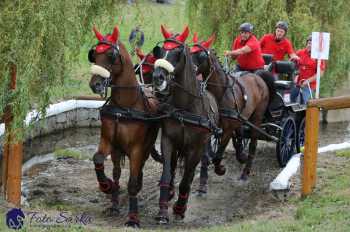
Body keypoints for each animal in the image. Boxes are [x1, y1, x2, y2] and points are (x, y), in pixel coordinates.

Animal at [88, 25, 159, 227]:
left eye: (111, 55)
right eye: (93, 55)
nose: (95, 84)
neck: (124, 107)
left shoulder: (136, 149)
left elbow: (133, 181)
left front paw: (133, 217)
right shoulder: (108, 142)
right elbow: (98, 159)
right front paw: (106, 186)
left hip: (145, 148)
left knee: (138, 170)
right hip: (117, 151)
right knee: (117, 172)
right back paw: (114, 200)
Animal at [152, 24, 220, 223]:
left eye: (177, 52)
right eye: (161, 50)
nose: (157, 77)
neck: (186, 108)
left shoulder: (195, 148)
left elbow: (186, 180)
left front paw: (180, 208)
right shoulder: (168, 141)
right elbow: (167, 173)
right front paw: (163, 209)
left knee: (197, 167)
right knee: (174, 167)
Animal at [190, 34, 274, 188]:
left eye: (201, 55)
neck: (220, 92)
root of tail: (259, 78)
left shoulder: (228, 129)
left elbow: (219, 153)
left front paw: (220, 169)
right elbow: (209, 152)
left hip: (257, 118)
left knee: (253, 143)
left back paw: (245, 172)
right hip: (242, 116)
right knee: (240, 133)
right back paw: (241, 155)